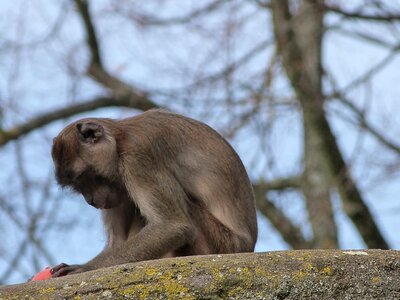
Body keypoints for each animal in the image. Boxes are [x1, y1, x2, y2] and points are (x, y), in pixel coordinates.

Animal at [50, 108, 258, 276]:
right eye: (78, 186)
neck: (120, 140)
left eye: (84, 178)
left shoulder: (137, 158)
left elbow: (172, 226)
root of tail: (248, 247)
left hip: (221, 243)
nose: (91, 200)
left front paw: (85, 268)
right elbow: (117, 242)